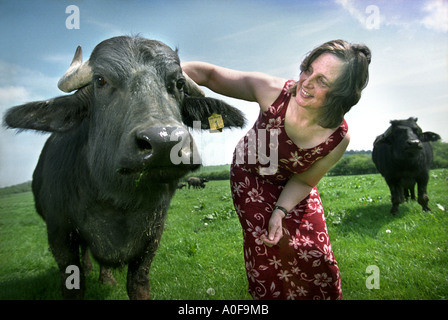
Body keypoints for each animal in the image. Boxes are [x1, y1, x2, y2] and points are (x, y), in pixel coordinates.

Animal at [2, 35, 245, 300]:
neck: (116, 201)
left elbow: (138, 283)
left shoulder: (152, 234)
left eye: (179, 83)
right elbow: (73, 285)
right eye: (100, 80)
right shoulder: (59, 233)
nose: (164, 142)